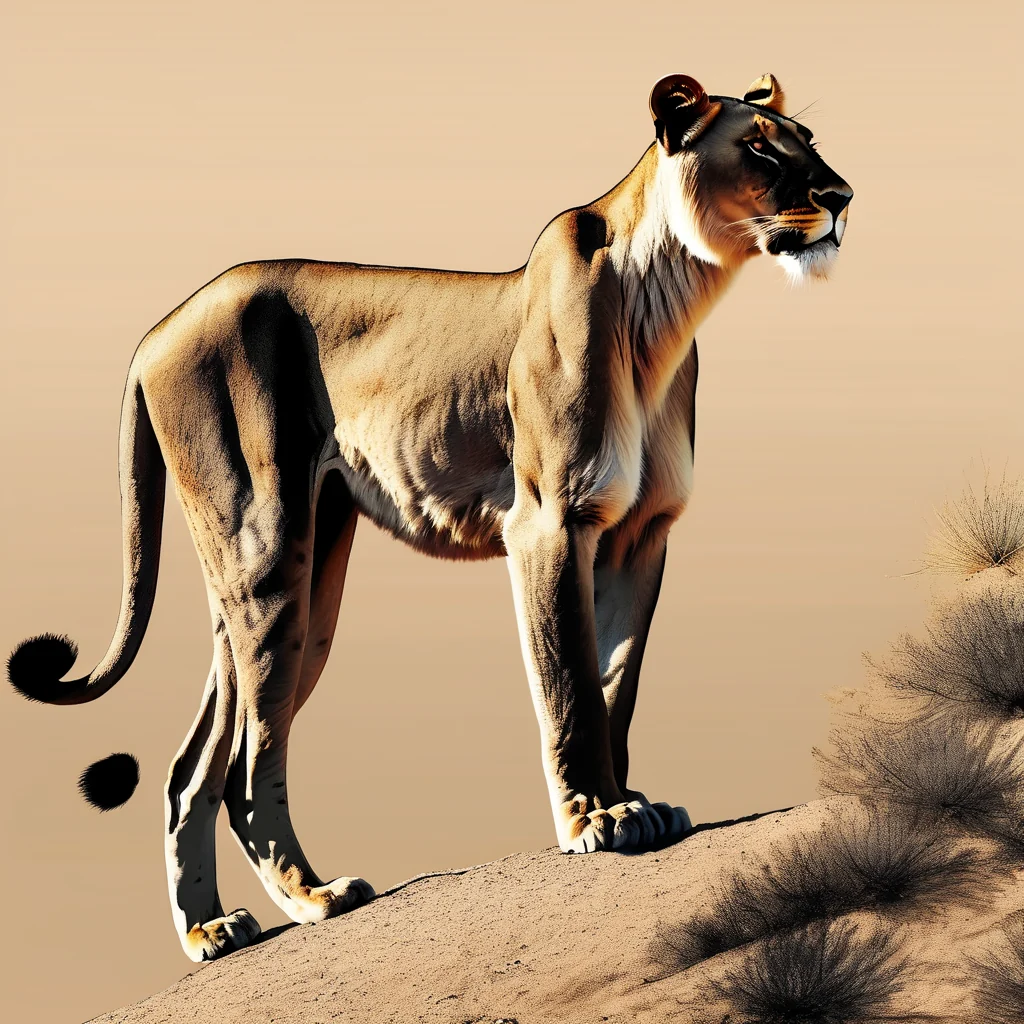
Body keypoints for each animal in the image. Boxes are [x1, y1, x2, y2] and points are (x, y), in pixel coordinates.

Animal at [8, 73, 852, 961]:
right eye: (756, 145)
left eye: (806, 139)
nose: (842, 197)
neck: (668, 305)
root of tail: (157, 329)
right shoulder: (550, 521)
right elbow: (571, 686)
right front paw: (600, 818)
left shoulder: (641, 536)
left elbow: (615, 685)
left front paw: (635, 803)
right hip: (266, 556)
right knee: (244, 764)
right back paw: (316, 898)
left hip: (298, 587)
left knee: (190, 768)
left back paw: (214, 928)